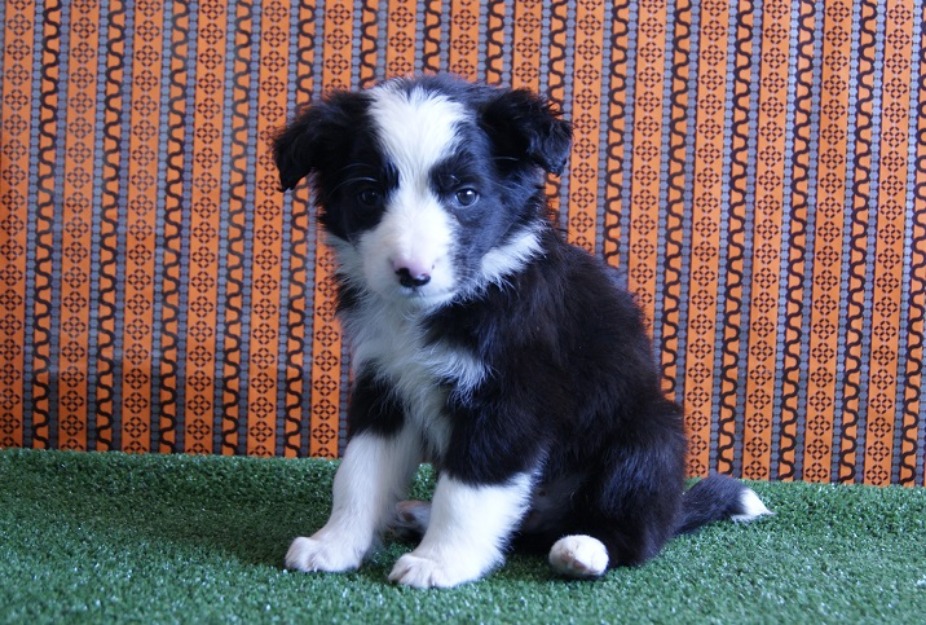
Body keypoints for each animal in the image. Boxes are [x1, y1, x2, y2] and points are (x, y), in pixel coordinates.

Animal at [272, 75, 772, 588]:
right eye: (368, 196)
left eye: (465, 195)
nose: (412, 273)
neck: (442, 308)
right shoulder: (384, 385)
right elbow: (359, 473)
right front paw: (334, 545)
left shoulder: (512, 398)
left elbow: (469, 488)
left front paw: (440, 562)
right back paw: (417, 515)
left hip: (650, 435)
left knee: (638, 529)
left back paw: (583, 549)